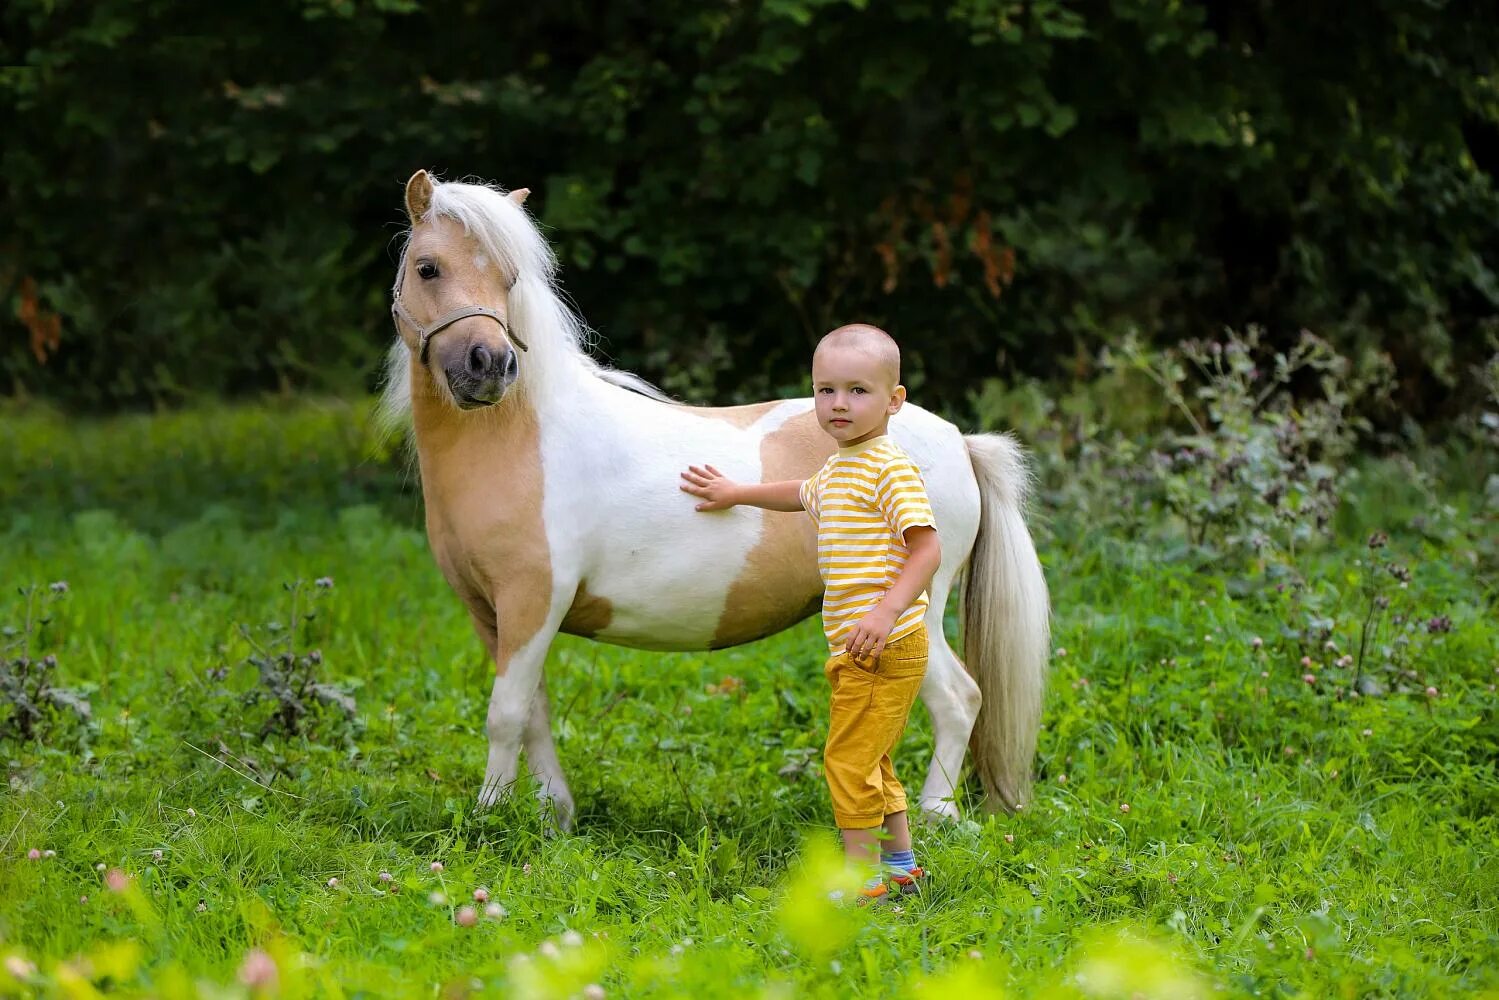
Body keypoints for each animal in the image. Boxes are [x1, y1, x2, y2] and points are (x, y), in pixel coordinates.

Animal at [380, 170, 1049, 827]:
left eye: (510, 278)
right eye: (428, 268)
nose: (489, 365)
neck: (520, 440)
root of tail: (960, 441)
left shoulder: (532, 601)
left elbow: (506, 715)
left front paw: (488, 819)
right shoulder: (491, 612)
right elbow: (535, 712)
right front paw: (555, 818)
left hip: (909, 615)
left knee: (958, 699)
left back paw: (936, 817)